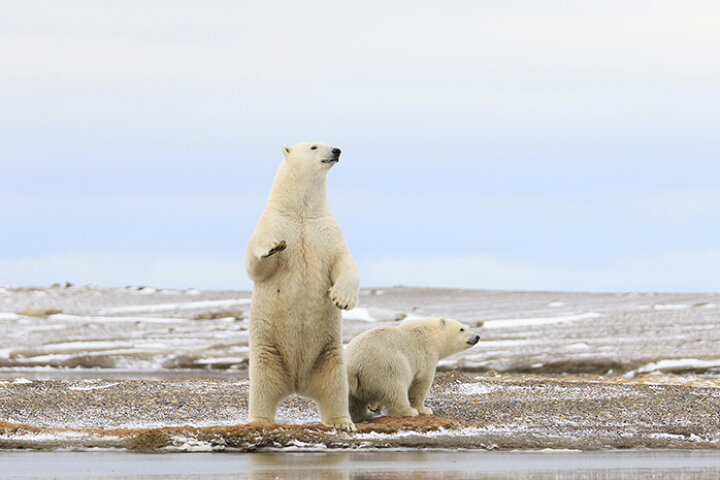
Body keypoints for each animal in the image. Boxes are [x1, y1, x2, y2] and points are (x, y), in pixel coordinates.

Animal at [248, 142, 360, 432]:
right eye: (313, 146)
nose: (336, 150)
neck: (301, 214)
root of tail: (297, 384)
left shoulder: (326, 231)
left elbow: (344, 262)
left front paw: (342, 299)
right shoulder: (272, 224)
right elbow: (255, 266)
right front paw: (272, 246)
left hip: (328, 354)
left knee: (335, 386)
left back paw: (343, 422)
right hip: (268, 352)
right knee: (262, 386)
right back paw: (260, 421)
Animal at [346, 316, 480, 422]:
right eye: (462, 329)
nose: (477, 337)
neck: (431, 335)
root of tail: (355, 365)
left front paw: (376, 406)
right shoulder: (426, 356)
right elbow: (421, 384)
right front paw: (424, 409)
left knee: (353, 402)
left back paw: (364, 415)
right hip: (388, 367)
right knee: (396, 390)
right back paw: (409, 411)